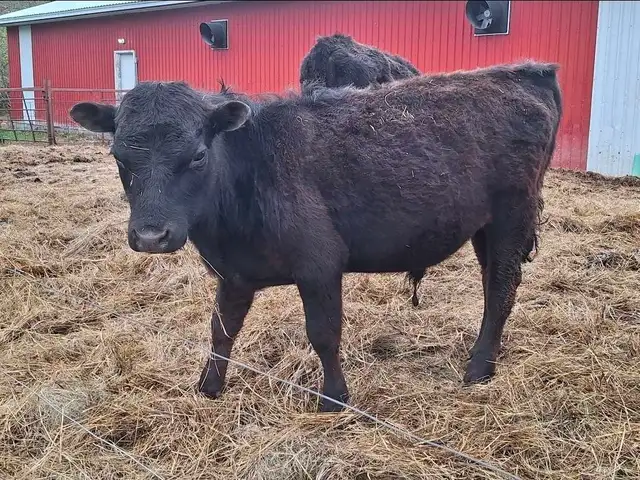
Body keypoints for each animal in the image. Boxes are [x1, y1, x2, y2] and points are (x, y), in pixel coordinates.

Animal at [69, 61, 562, 412]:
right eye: (118, 156)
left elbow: (323, 333)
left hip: (511, 216)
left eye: (197, 155)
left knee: (501, 287)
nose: (151, 235)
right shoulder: (234, 275)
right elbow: (221, 331)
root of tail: (525, 71)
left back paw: (479, 367)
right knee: (493, 284)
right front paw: (208, 388)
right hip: (484, 226)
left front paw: (334, 400)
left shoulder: (319, 264)